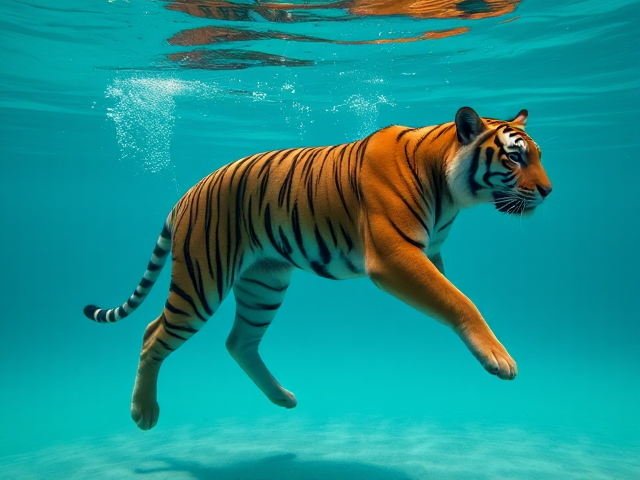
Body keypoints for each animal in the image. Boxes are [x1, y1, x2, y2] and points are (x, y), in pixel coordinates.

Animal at [84, 107, 552, 430]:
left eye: (538, 155)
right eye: (514, 158)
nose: (549, 191)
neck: (449, 188)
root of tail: (186, 193)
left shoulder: (429, 255)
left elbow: (449, 292)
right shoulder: (393, 255)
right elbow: (459, 300)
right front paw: (498, 358)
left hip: (265, 284)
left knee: (239, 342)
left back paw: (283, 398)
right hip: (203, 280)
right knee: (152, 333)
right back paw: (143, 412)